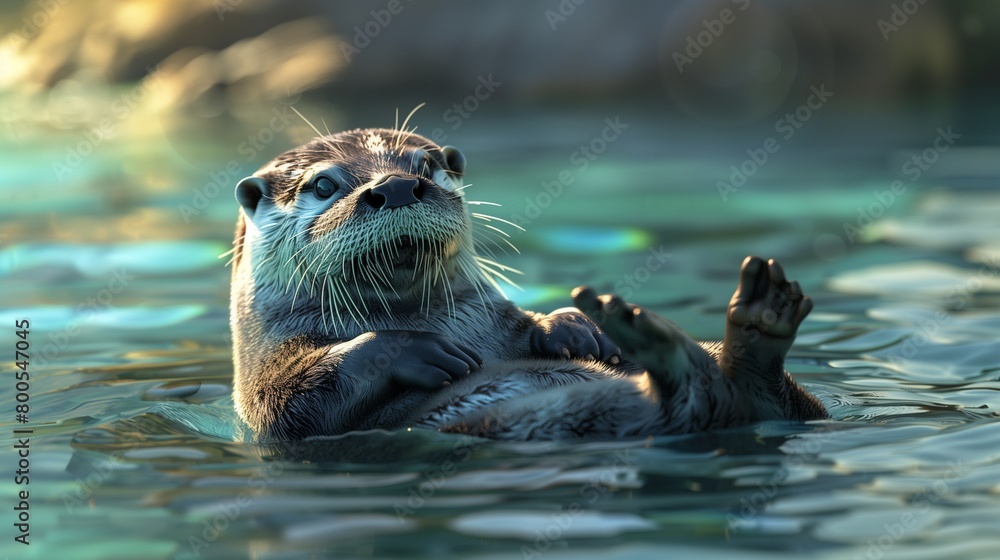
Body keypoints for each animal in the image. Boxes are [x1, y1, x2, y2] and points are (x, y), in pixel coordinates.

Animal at [230, 127, 826, 441]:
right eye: (323, 185)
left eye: (424, 164)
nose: (396, 185)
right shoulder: (264, 385)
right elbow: (293, 399)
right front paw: (418, 352)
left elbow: (532, 328)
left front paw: (574, 330)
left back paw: (754, 322)